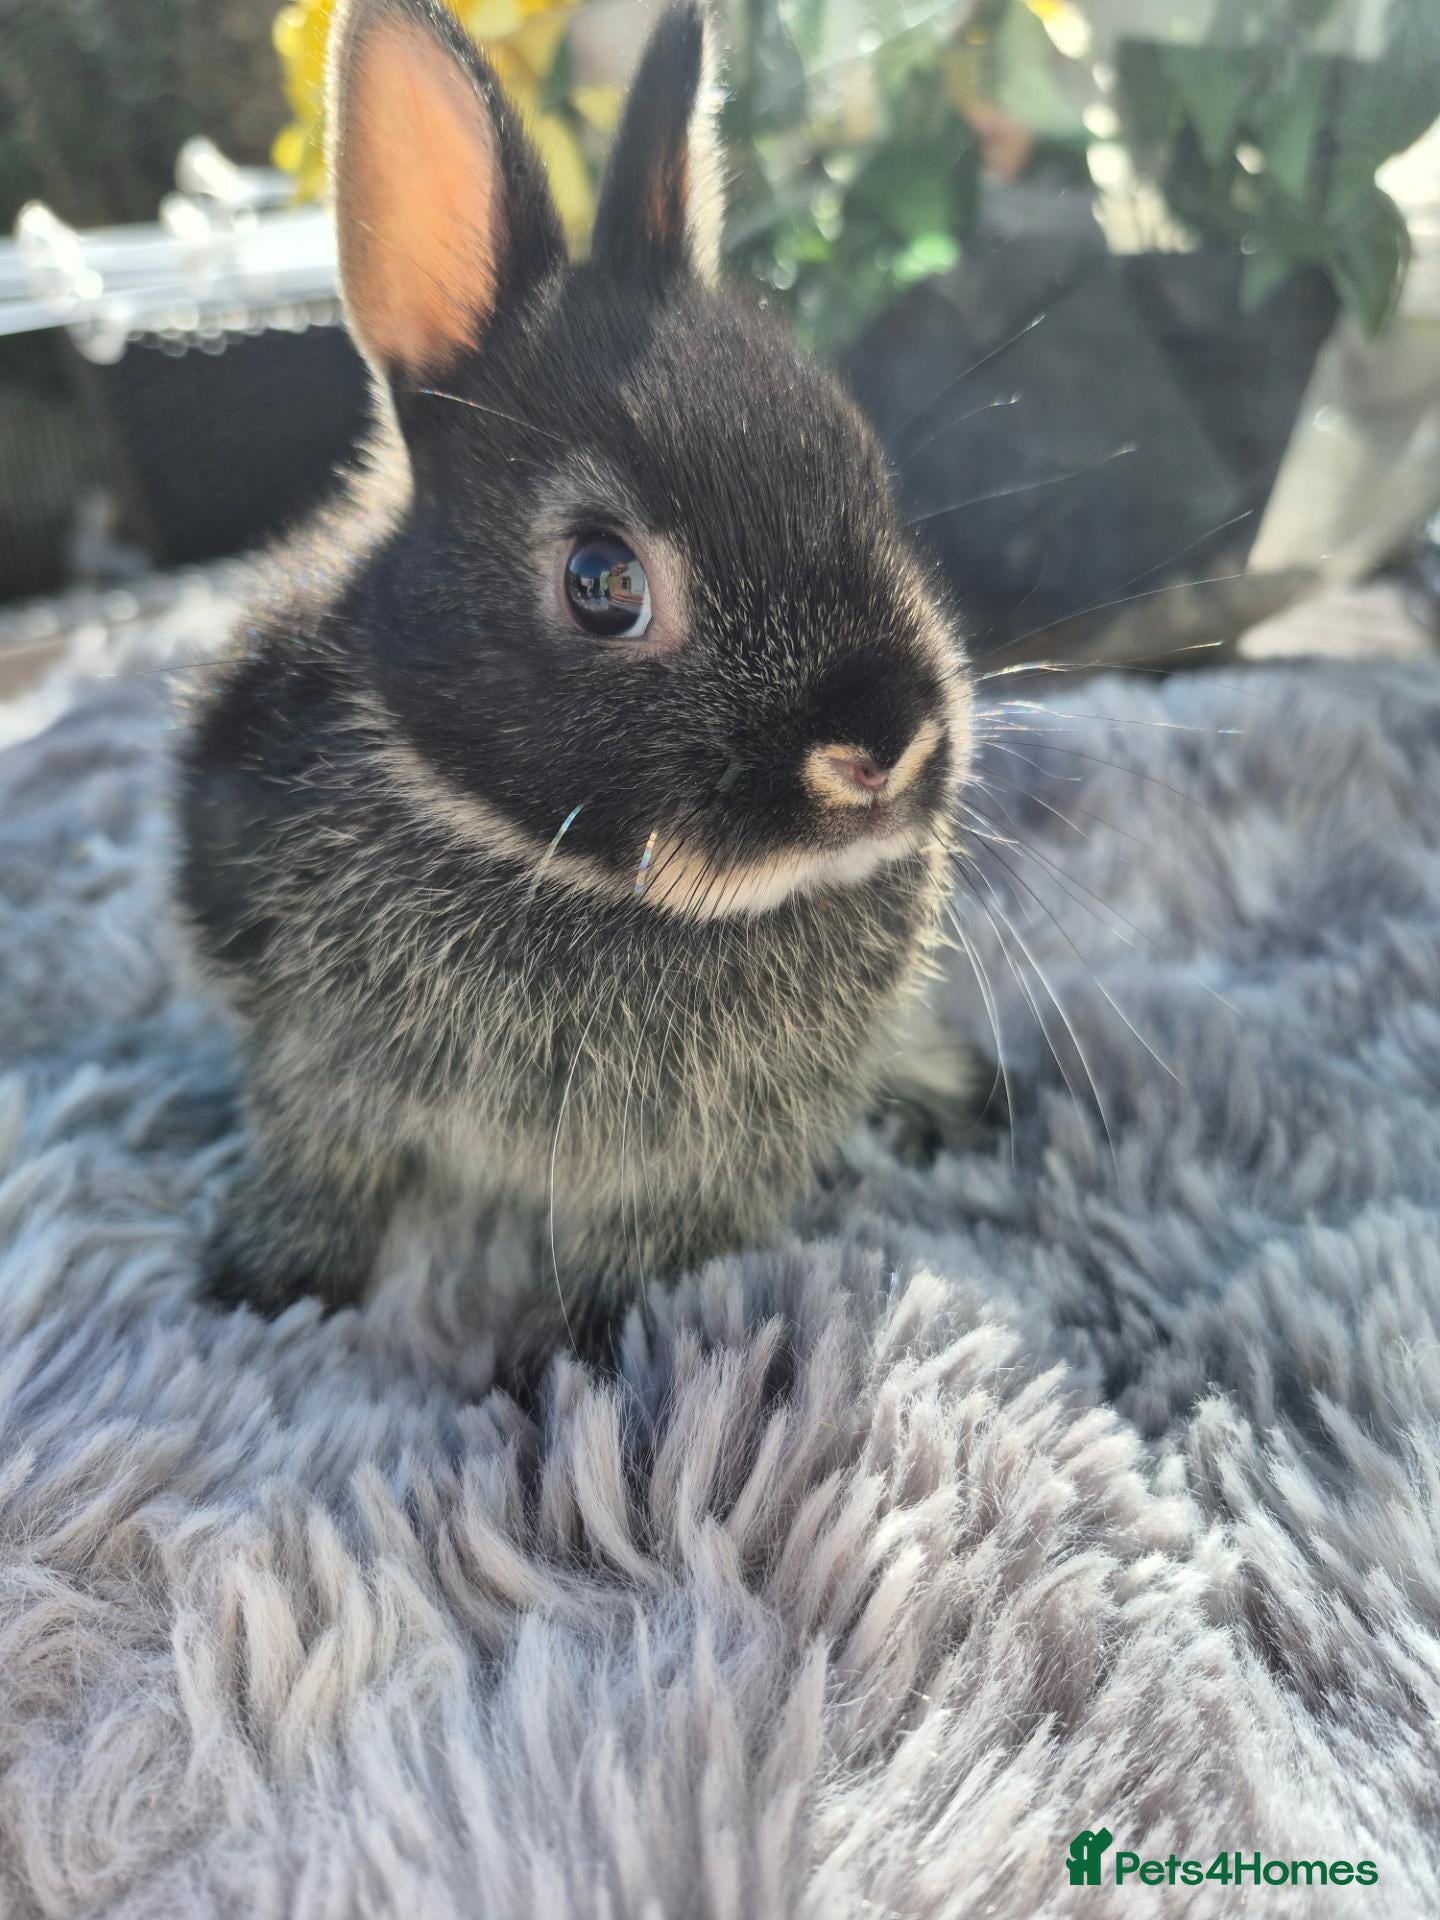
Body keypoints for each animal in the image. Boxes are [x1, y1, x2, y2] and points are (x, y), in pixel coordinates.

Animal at [177, 0, 977, 1361]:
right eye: (603, 581)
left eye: (864, 473)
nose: (884, 745)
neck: (553, 869)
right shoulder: (309, 1075)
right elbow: (320, 1167)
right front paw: (263, 1285)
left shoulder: (704, 1168)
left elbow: (635, 1260)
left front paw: (574, 1356)